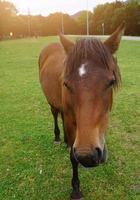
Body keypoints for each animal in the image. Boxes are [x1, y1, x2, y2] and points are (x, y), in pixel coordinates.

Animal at [38, 22, 125, 200]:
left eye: (111, 82)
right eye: (66, 84)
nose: (87, 155)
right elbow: (73, 157)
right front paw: (76, 189)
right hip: (52, 103)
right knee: (55, 115)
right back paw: (58, 138)